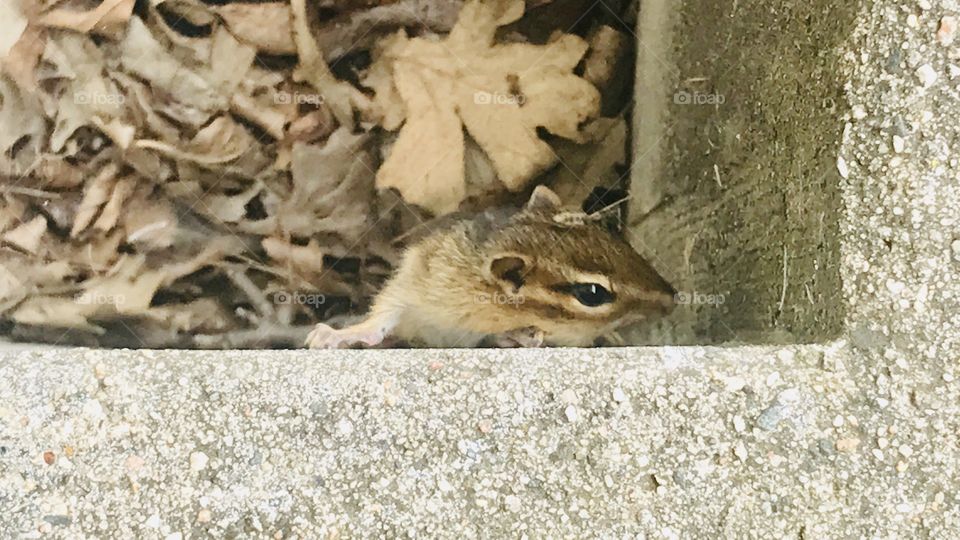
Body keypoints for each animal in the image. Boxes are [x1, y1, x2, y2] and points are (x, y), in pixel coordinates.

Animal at [306, 185, 675, 348]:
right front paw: (334, 335)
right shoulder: (418, 277)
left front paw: (525, 334)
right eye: (592, 293)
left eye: (605, 231)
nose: (671, 297)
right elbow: (381, 319)